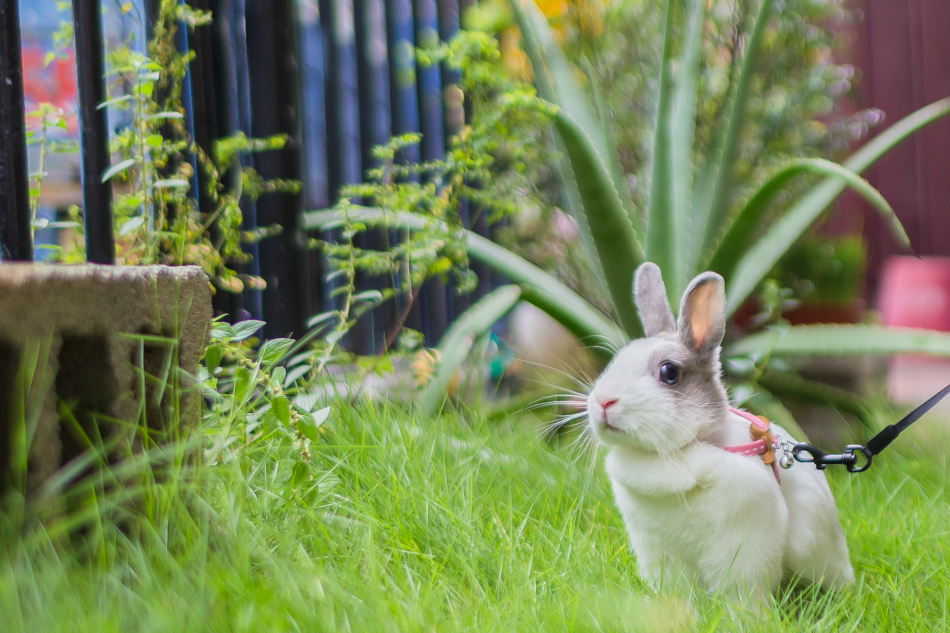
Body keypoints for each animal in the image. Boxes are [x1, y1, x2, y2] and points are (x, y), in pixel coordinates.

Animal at [588, 262, 856, 604]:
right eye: (616, 361)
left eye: (669, 372)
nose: (603, 401)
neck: (682, 451)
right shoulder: (660, 551)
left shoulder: (742, 547)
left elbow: (742, 592)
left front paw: (746, 615)